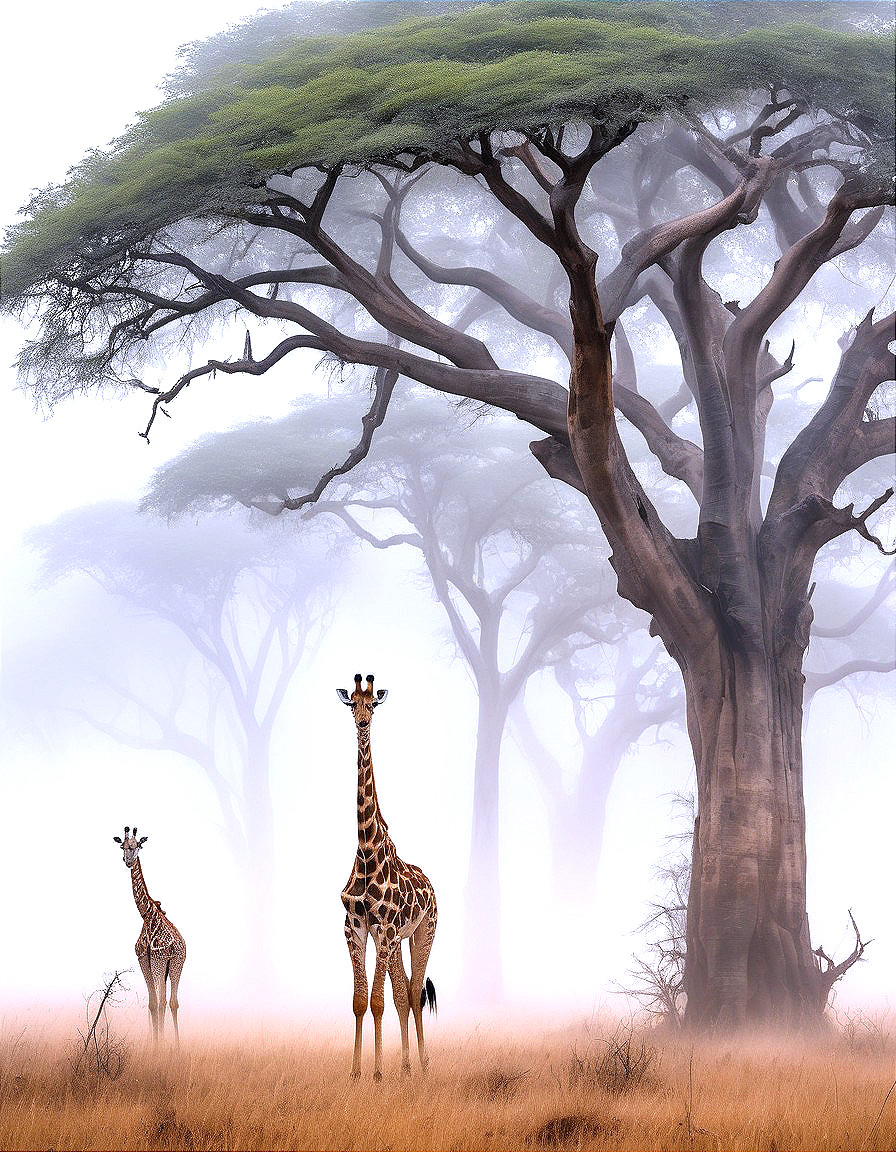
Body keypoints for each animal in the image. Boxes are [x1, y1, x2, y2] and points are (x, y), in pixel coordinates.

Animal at [112, 826, 186, 1045]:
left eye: (137, 845)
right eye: (123, 846)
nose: (128, 861)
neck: (147, 915)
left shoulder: (158, 958)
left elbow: (160, 1003)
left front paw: (160, 1046)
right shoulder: (144, 959)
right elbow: (153, 1004)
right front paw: (154, 1045)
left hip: (176, 962)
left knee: (172, 1002)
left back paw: (177, 1046)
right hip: (166, 966)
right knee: (167, 1001)